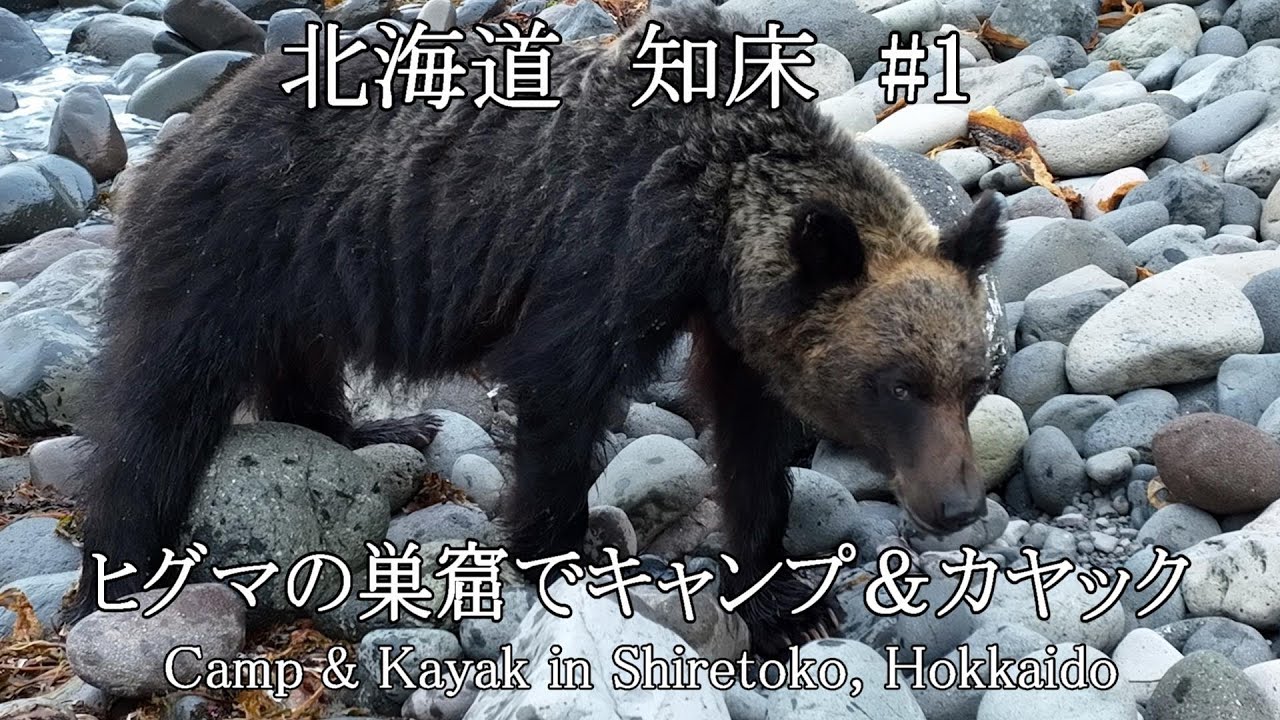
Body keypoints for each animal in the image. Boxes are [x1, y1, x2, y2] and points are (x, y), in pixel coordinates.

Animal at [76, 1, 1004, 656]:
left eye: (972, 381)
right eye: (896, 385)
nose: (958, 504)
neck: (713, 210)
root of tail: (193, 119)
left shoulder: (737, 317)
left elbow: (748, 442)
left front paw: (783, 597)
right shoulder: (608, 243)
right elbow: (564, 385)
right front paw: (566, 552)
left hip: (305, 272)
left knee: (297, 360)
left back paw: (374, 424)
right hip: (230, 244)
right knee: (158, 407)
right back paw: (118, 573)